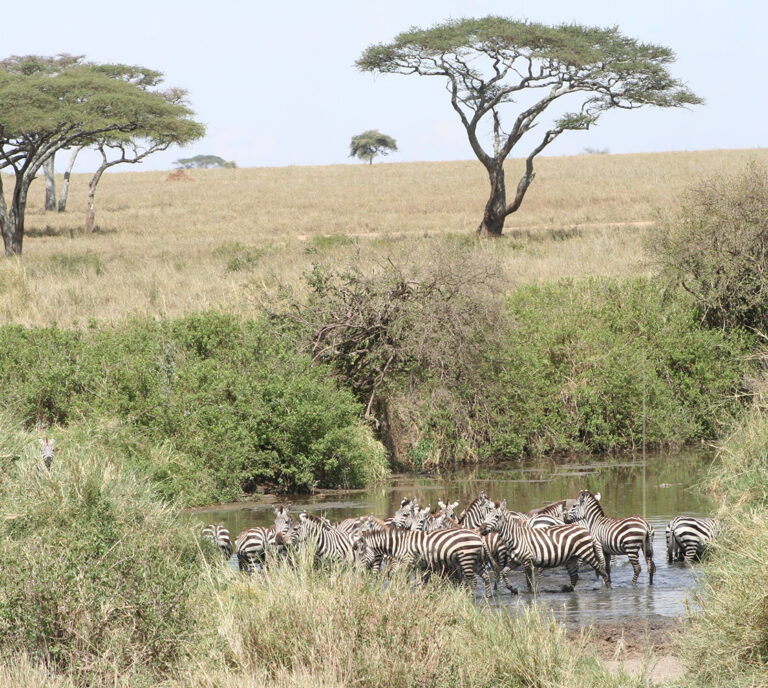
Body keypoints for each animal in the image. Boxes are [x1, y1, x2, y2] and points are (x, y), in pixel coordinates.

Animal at [356, 528, 492, 596]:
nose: (359, 573)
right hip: (475, 560)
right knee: (486, 577)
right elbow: (418, 579)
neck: (399, 544)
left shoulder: (408, 560)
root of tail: (478, 536)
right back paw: (488, 597)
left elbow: (400, 575)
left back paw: (468, 597)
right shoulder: (414, 563)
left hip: (466, 558)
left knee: (473, 581)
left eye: (361, 554)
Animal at [480, 500, 612, 592]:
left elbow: (529, 581)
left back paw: (608, 588)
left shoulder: (527, 560)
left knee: (601, 569)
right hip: (571, 558)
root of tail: (583, 528)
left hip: (586, 553)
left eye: (496, 517)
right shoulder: (516, 561)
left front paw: (530, 593)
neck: (516, 537)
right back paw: (567, 589)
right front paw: (513, 590)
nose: (481, 529)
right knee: (574, 576)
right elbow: (504, 573)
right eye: (485, 516)